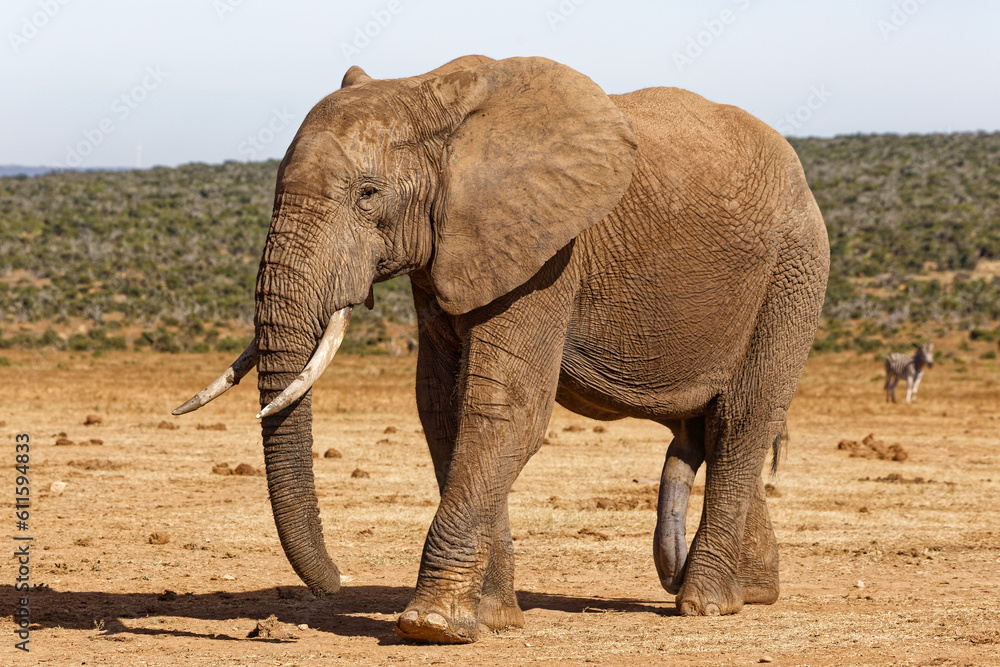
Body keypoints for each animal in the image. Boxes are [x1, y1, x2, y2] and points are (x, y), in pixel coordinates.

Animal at [174, 54, 829, 644]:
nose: (334, 583)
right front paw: (492, 620)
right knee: (715, 428)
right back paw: (753, 592)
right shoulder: (448, 254)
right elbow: (442, 408)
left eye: (368, 194)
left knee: (741, 418)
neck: (430, 93)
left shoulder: (548, 252)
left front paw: (431, 626)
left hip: (793, 271)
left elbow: (503, 408)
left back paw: (705, 604)